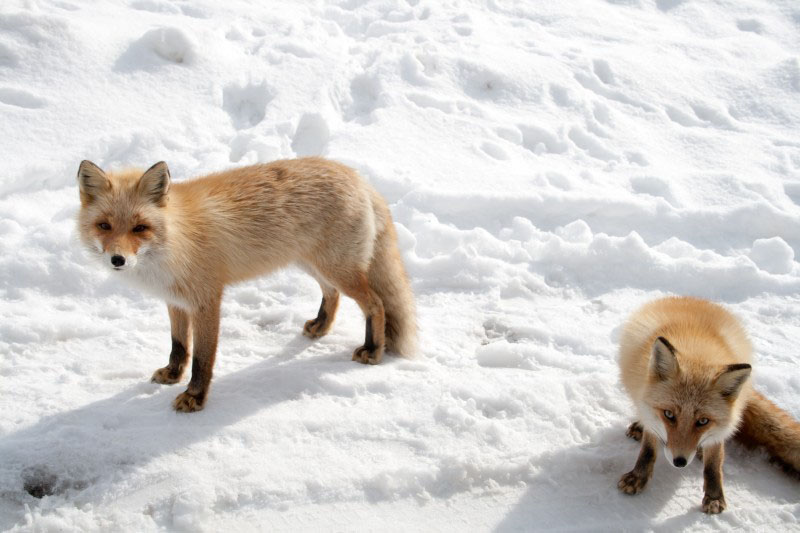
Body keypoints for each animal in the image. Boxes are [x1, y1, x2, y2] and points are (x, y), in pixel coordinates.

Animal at [76, 157, 418, 412]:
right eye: (104, 225)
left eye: (140, 228)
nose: (117, 259)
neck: (176, 241)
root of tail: (357, 176)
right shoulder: (175, 300)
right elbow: (179, 345)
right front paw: (173, 374)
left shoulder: (206, 300)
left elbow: (202, 358)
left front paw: (194, 398)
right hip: (313, 263)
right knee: (331, 293)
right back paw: (321, 326)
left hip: (337, 268)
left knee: (376, 304)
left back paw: (373, 350)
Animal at [620, 296, 800, 512]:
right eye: (669, 415)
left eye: (703, 421)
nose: (679, 461)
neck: (698, 349)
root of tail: (692, 299)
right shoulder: (651, 413)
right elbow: (648, 448)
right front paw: (639, 476)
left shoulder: (722, 424)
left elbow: (714, 462)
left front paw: (714, 496)